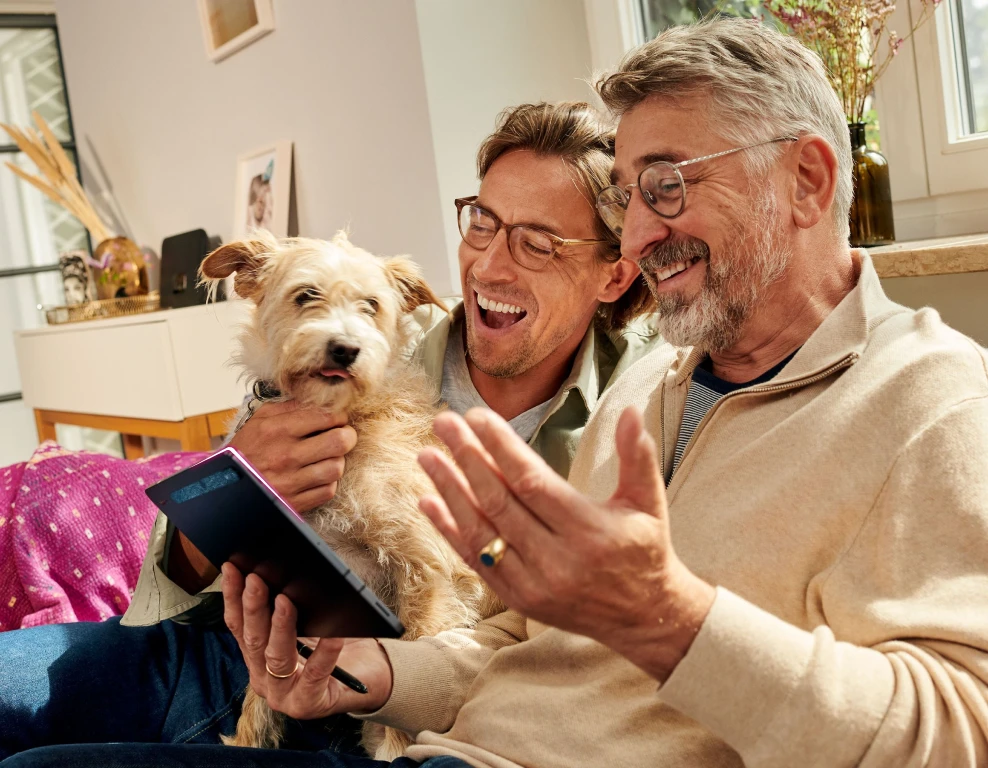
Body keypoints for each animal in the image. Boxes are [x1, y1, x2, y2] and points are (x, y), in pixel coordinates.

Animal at [200, 231, 498, 760]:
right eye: (306, 295)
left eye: (371, 306)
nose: (344, 349)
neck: (345, 416)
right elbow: (261, 681)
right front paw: (248, 739)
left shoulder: (428, 568)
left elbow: (410, 662)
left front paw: (393, 753)